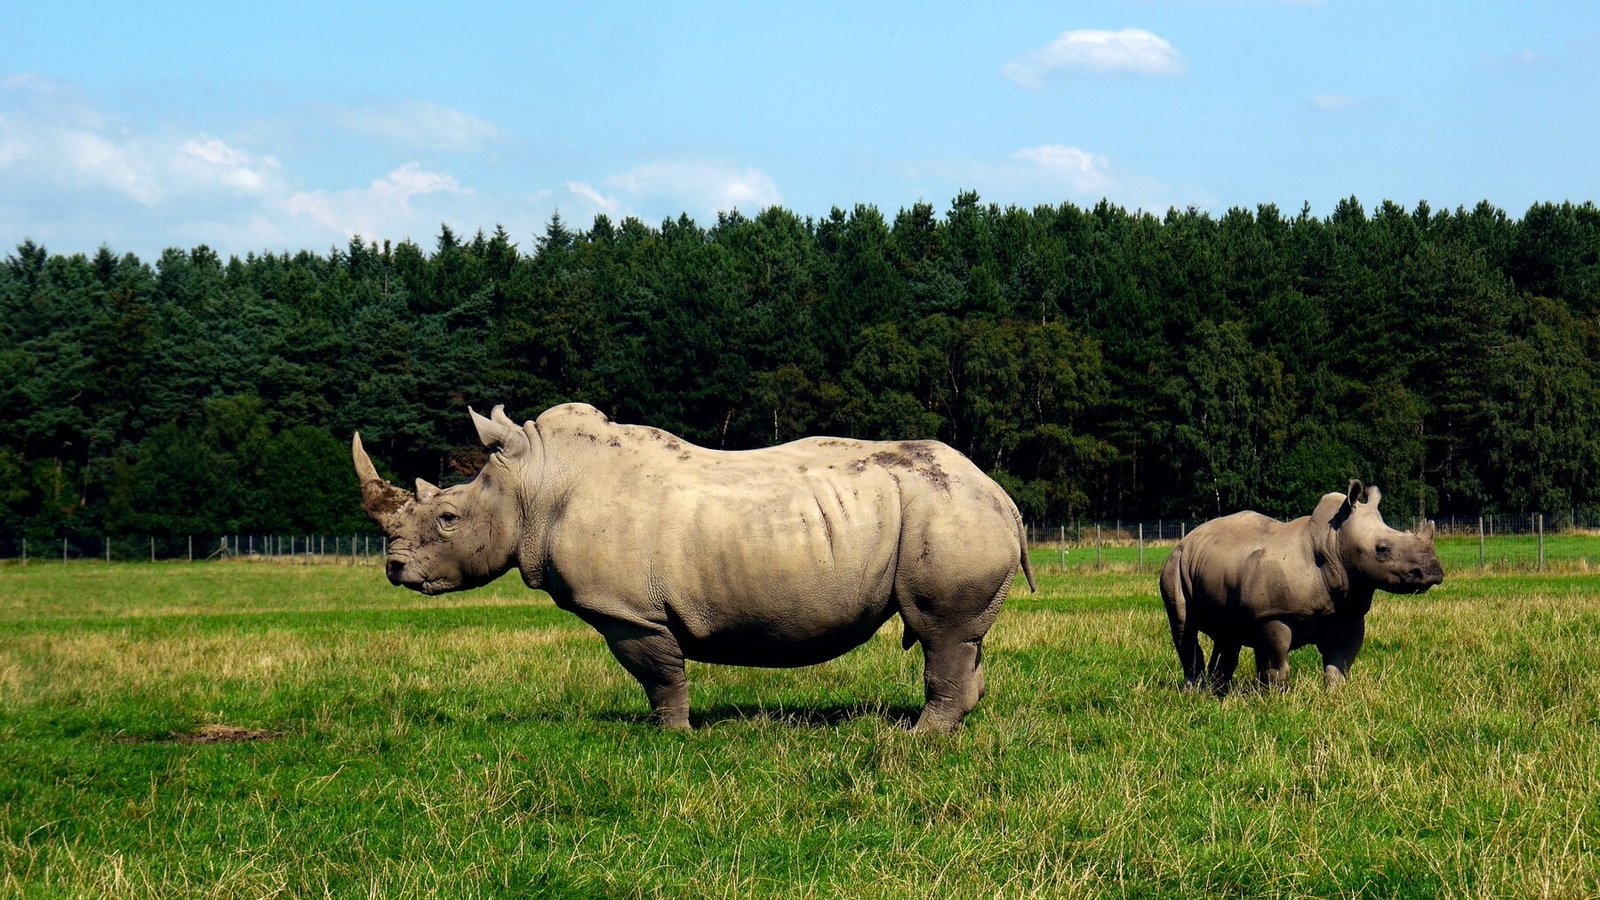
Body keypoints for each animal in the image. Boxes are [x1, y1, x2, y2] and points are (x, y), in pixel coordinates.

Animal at [353, 402, 1035, 732]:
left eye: (447, 519)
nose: (394, 571)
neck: (537, 481)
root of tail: (1002, 495)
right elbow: (659, 673)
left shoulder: (629, 612)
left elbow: (657, 674)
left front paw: (669, 736)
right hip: (952, 511)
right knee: (961, 637)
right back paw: (955, 723)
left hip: (950, 511)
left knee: (941, 631)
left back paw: (918, 739)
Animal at [1159, 480, 1443, 693]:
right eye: (1382, 550)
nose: (1433, 572)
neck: (1333, 543)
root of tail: (1187, 537)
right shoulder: (1273, 614)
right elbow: (1276, 660)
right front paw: (1275, 698)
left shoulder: (1348, 612)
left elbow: (1339, 662)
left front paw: (1335, 696)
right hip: (1175, 565)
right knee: (1184, 626)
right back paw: (1195, 693)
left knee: (1228, 632)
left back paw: (1219, 693)